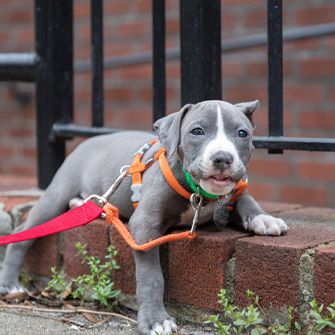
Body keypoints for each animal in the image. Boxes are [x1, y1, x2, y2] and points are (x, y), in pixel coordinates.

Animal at [0, 100, 288, 335]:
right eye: (197, 131)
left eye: (242, 133)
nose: (222, 158)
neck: (201, 194)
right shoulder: (145, 225)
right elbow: (152, 277)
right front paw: (156, 320)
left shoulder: (229, 193)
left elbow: (244, 197)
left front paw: (264, 219)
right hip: (57, 191)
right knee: (25, 231)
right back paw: (10, 282)